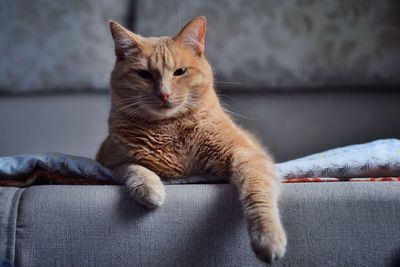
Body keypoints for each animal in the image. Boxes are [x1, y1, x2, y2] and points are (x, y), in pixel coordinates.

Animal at [95, 16, 286, 264]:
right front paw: (150, 188)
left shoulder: (248, 156)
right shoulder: (111, 161)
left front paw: (267, 237)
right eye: (144, 75)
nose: (164, 94)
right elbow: (134, 168)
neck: (169, 127)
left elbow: (257, 193)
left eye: (180, 72)